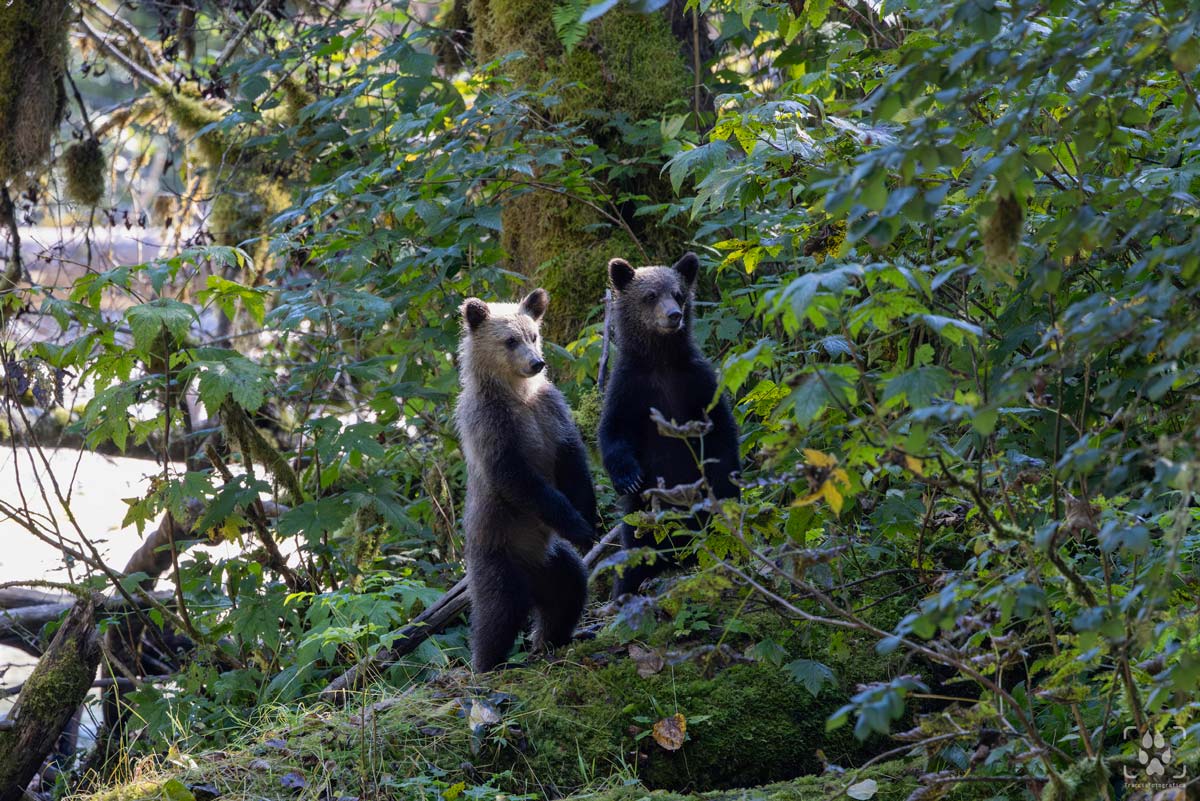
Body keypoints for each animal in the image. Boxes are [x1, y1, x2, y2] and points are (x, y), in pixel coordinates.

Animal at [455, 288, 598, 672]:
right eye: (509, 340)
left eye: (533, 335)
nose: (537, 363)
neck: (518, 395)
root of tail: (533, 574)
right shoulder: (495, 428)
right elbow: (520, 481)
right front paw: (578, 526)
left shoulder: (551, 413)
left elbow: (574, 463)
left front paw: (590, 519)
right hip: (499, 554)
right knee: (499, 610)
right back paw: (490, 662)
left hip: (551, 560)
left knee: (569, 588)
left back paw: (557, 638)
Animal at [598, 252, 741, 597]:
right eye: (650, 296)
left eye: (678, 293)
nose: (674, 315)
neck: (660, 362)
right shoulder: (628, 389)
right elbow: (612, 433)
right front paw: (629, 478)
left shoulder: (697, 383)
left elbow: (721, 434)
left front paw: (725, 480)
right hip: (642, 523)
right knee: (634, 557)